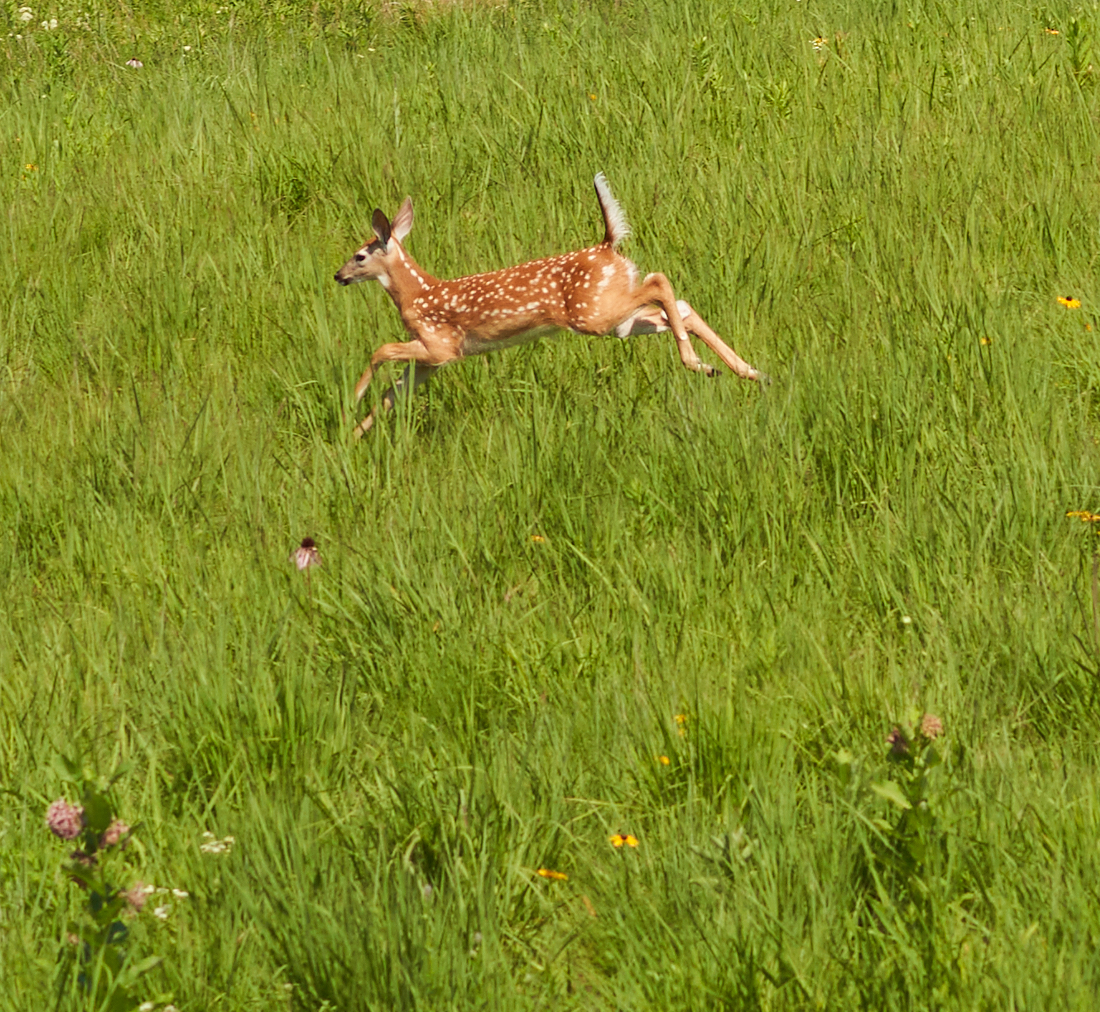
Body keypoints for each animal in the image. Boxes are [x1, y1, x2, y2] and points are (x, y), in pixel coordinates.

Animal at [334, 173, 765, 437]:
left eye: (359, 255)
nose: (338, 276)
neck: (417, 294)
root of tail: (607, 245)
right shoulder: (432, 362)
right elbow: (393, 396)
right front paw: (349, 438)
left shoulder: (442, 346)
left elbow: (381, 350)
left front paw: (350, 401)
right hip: (614, 317)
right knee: (681, 306)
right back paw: (745, 371)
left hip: (594, 314)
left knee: (660, 281)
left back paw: (701, 364)